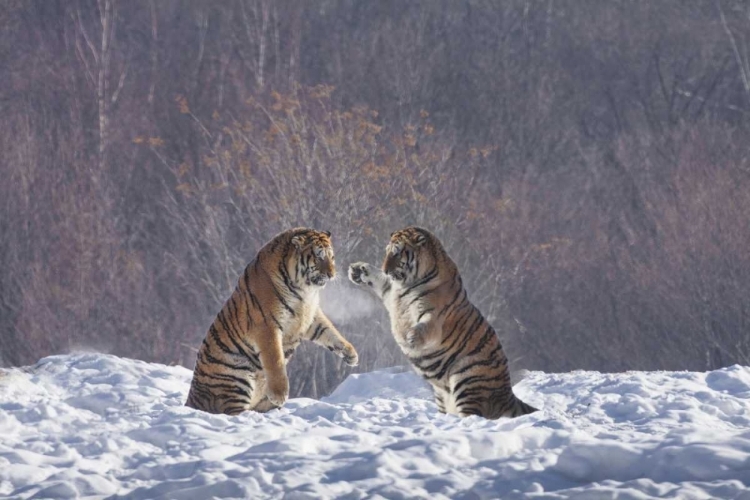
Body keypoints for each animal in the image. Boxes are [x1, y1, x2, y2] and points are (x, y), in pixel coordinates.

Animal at [184, 229, 356, 416]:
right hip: (236, 379)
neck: (304, 290)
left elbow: (330, 331)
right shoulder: (267, 325)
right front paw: (280, 395)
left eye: (332, 257)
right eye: (319, 257)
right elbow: (276, 360)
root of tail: (191, 400)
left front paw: (351, 354)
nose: (332, 274)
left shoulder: (310, 317)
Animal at [350, 226, 536, 418]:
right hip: (442, 394)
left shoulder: (433, 315)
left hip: (467, 378)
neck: (406, 284)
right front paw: (358, 270)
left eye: (397, 253)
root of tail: (508, 393)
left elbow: (425, 326)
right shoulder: (392, 292)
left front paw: (411, 337)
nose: (386, 269)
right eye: (387, 253)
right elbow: (380, 280)